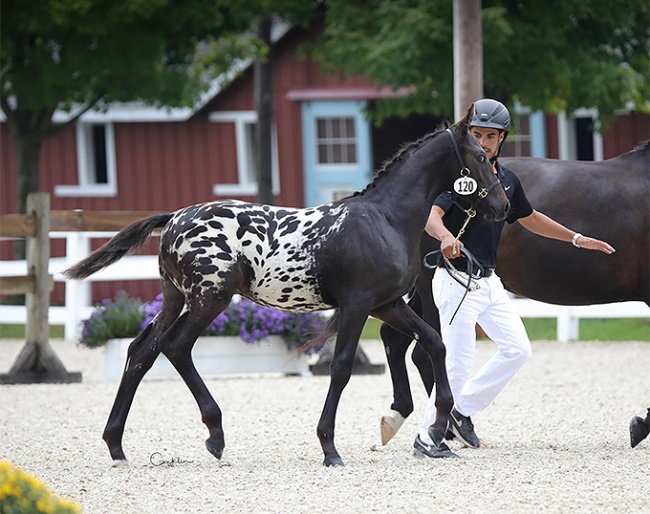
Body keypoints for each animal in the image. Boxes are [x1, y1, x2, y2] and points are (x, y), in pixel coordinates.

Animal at [380, 140, 648, 440]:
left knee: (395, 338)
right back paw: (448, 426)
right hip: (430, 293)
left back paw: (406, 416)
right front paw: (642, 425)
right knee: (424, 352)